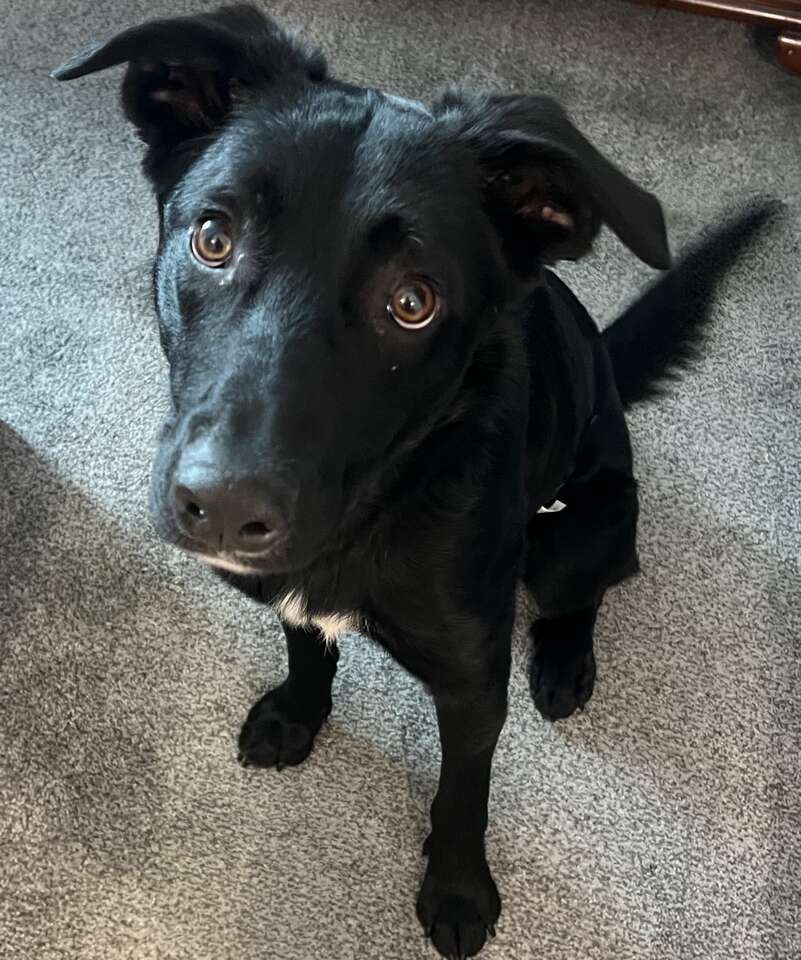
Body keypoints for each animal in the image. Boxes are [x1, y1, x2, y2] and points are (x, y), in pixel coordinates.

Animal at [53, 9, 772, 960]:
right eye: (213, 239)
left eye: (412, 303)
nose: (224, 509)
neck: (380, 505)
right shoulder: (296, 592)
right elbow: (306, 643)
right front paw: (297, 712)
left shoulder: (472, 681)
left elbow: (461, 796)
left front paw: (458, 891)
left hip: (582, 527)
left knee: (589, 590)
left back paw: (565, 661)